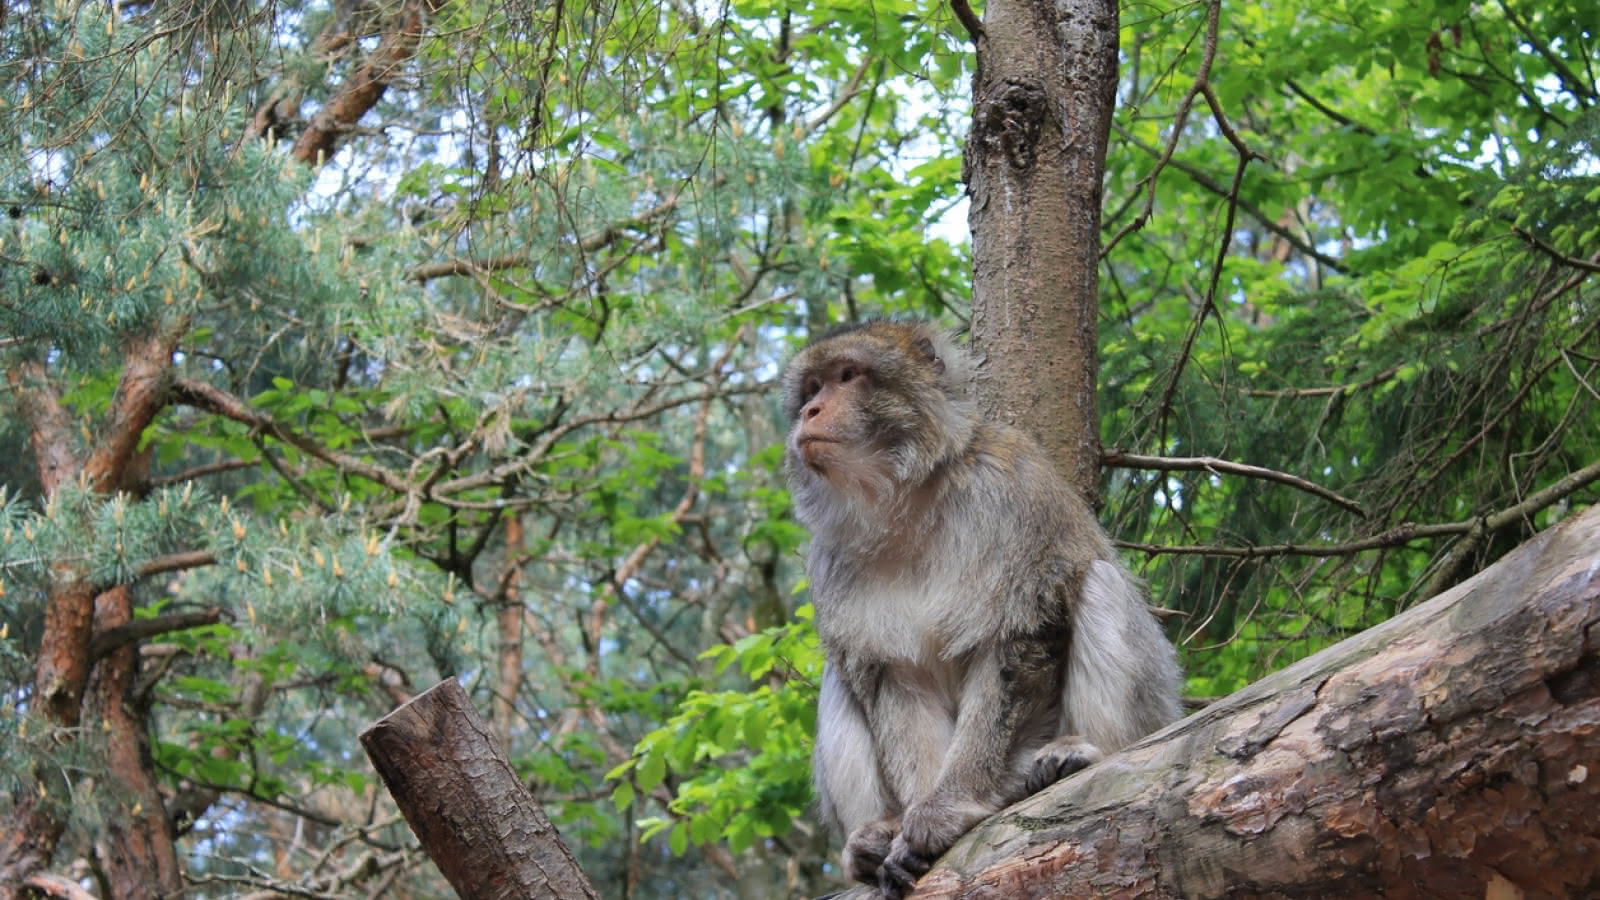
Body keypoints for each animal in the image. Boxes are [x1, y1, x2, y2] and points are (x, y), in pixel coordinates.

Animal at [780, 318, 1184, 890]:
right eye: (812, 388)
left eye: (847, 376)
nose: (811, 412)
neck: (905, 500)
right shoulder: (830, 558)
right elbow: (892, 678)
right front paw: (909, 828)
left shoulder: (1010, 491)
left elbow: (1019, 639)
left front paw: (945, 810)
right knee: (841, 674)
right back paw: (869, 842)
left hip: (1151, 715)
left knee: (1098, 583)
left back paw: (1084, 754)